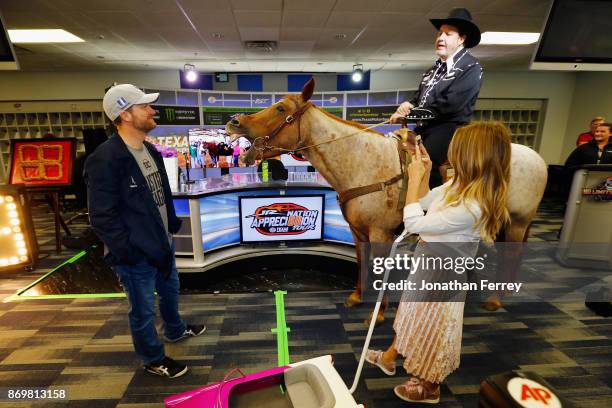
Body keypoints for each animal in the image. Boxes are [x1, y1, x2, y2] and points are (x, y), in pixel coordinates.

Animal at [227, 79, 548, 320]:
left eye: (280, 107)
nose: (234, 121)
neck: (363, 162)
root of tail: (537, 158)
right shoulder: (358, 233)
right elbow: (361, 261)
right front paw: (358, 296)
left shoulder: (380, 232)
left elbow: (379, 267)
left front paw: (379, 313)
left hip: (518, 222)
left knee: (511, 255)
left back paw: (495, 299)